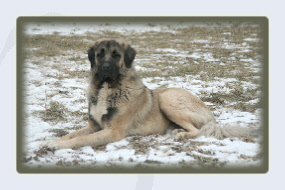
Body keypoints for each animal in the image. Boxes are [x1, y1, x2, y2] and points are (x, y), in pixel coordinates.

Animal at [41, 39, 247, 150]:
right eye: (100, 54)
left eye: (116, 55)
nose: (105, 68)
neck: (107, 87)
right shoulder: (94, 126)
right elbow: (71, 135)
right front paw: (51, 142)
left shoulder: (113, 131)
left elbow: (80, 139)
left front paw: (56, 146)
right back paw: (178, 131)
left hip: (167, 100)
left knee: (198, 130)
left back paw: (180, 135)